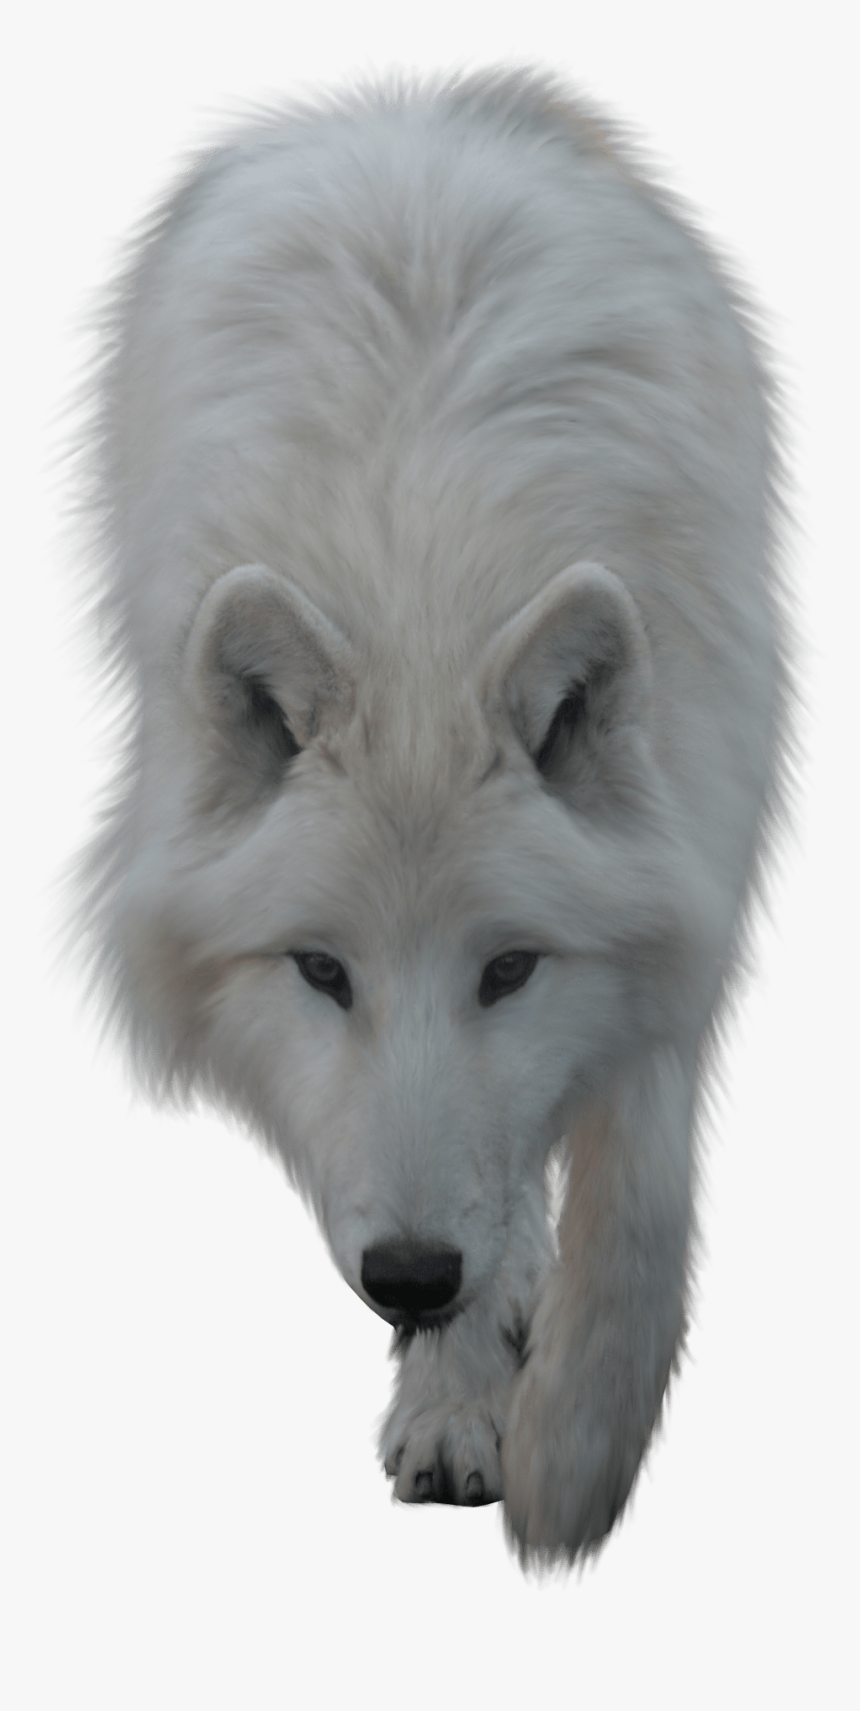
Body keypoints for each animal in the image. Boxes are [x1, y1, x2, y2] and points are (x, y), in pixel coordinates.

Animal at [80, 71, 786, 1564]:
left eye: (508, 966)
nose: (409, 1278)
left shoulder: (684, 879)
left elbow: (635, 1186)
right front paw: (463, 1391)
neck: (425, 598)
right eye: (319, 969)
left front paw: (573, 1457)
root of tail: (409, 105)